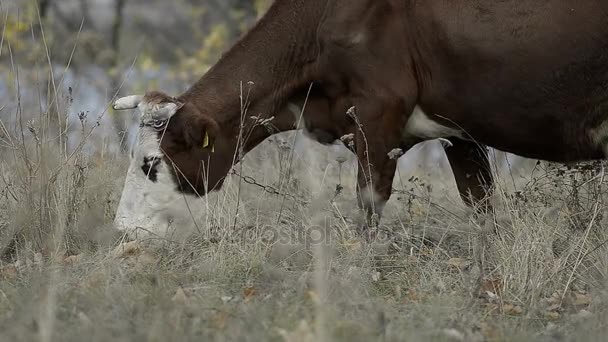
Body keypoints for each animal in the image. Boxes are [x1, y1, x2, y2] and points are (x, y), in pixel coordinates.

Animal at [111, 0, 608, 238]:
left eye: (151, 164)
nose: (124, 229)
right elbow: (479, 202)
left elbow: (369, 205)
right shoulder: (459, 130)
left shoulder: (378, 113)